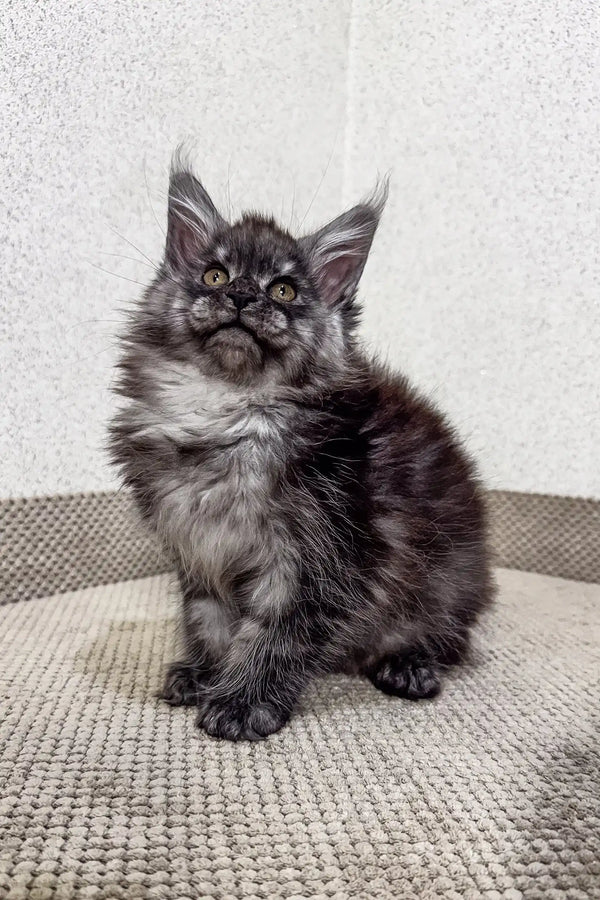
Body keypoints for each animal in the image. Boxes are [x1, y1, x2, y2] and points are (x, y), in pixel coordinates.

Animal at [108, 155, 492, 740]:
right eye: (215, 275)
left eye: (284, 290)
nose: (242, 296)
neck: (229, 414)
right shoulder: (198, 548)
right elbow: (208, 620)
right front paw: (206, 673)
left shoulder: (319, 558)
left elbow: (275, 634)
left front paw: (242, 702)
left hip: (450, 580)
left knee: (446, 637)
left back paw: (408, 665)